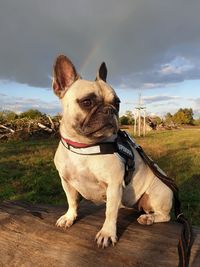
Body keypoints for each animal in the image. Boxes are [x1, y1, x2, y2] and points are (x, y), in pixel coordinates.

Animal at [52, 55, 173, 249]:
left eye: (117, 102)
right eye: (87, 102)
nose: (110, 110)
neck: (84, 147)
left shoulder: (114, 184)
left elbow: (109, 213)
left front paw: (107, 233)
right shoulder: (66, 181)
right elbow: (71, 201)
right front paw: (69, 217)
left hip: (157, 193)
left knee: (165, 216)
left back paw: (148, 218)